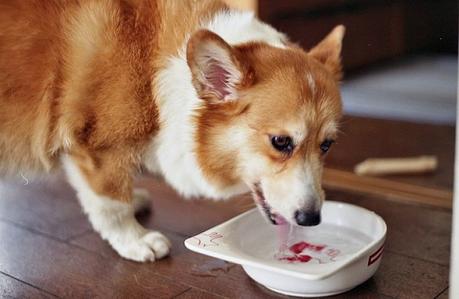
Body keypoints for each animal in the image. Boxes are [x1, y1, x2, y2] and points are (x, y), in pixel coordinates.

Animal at [0, 0, 344, 262]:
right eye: (281, 142)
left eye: (327, 145)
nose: (312, 219)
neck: (153, 66)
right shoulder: (98, 150)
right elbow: (111, 203)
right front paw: (136, 241)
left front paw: (134, 200)